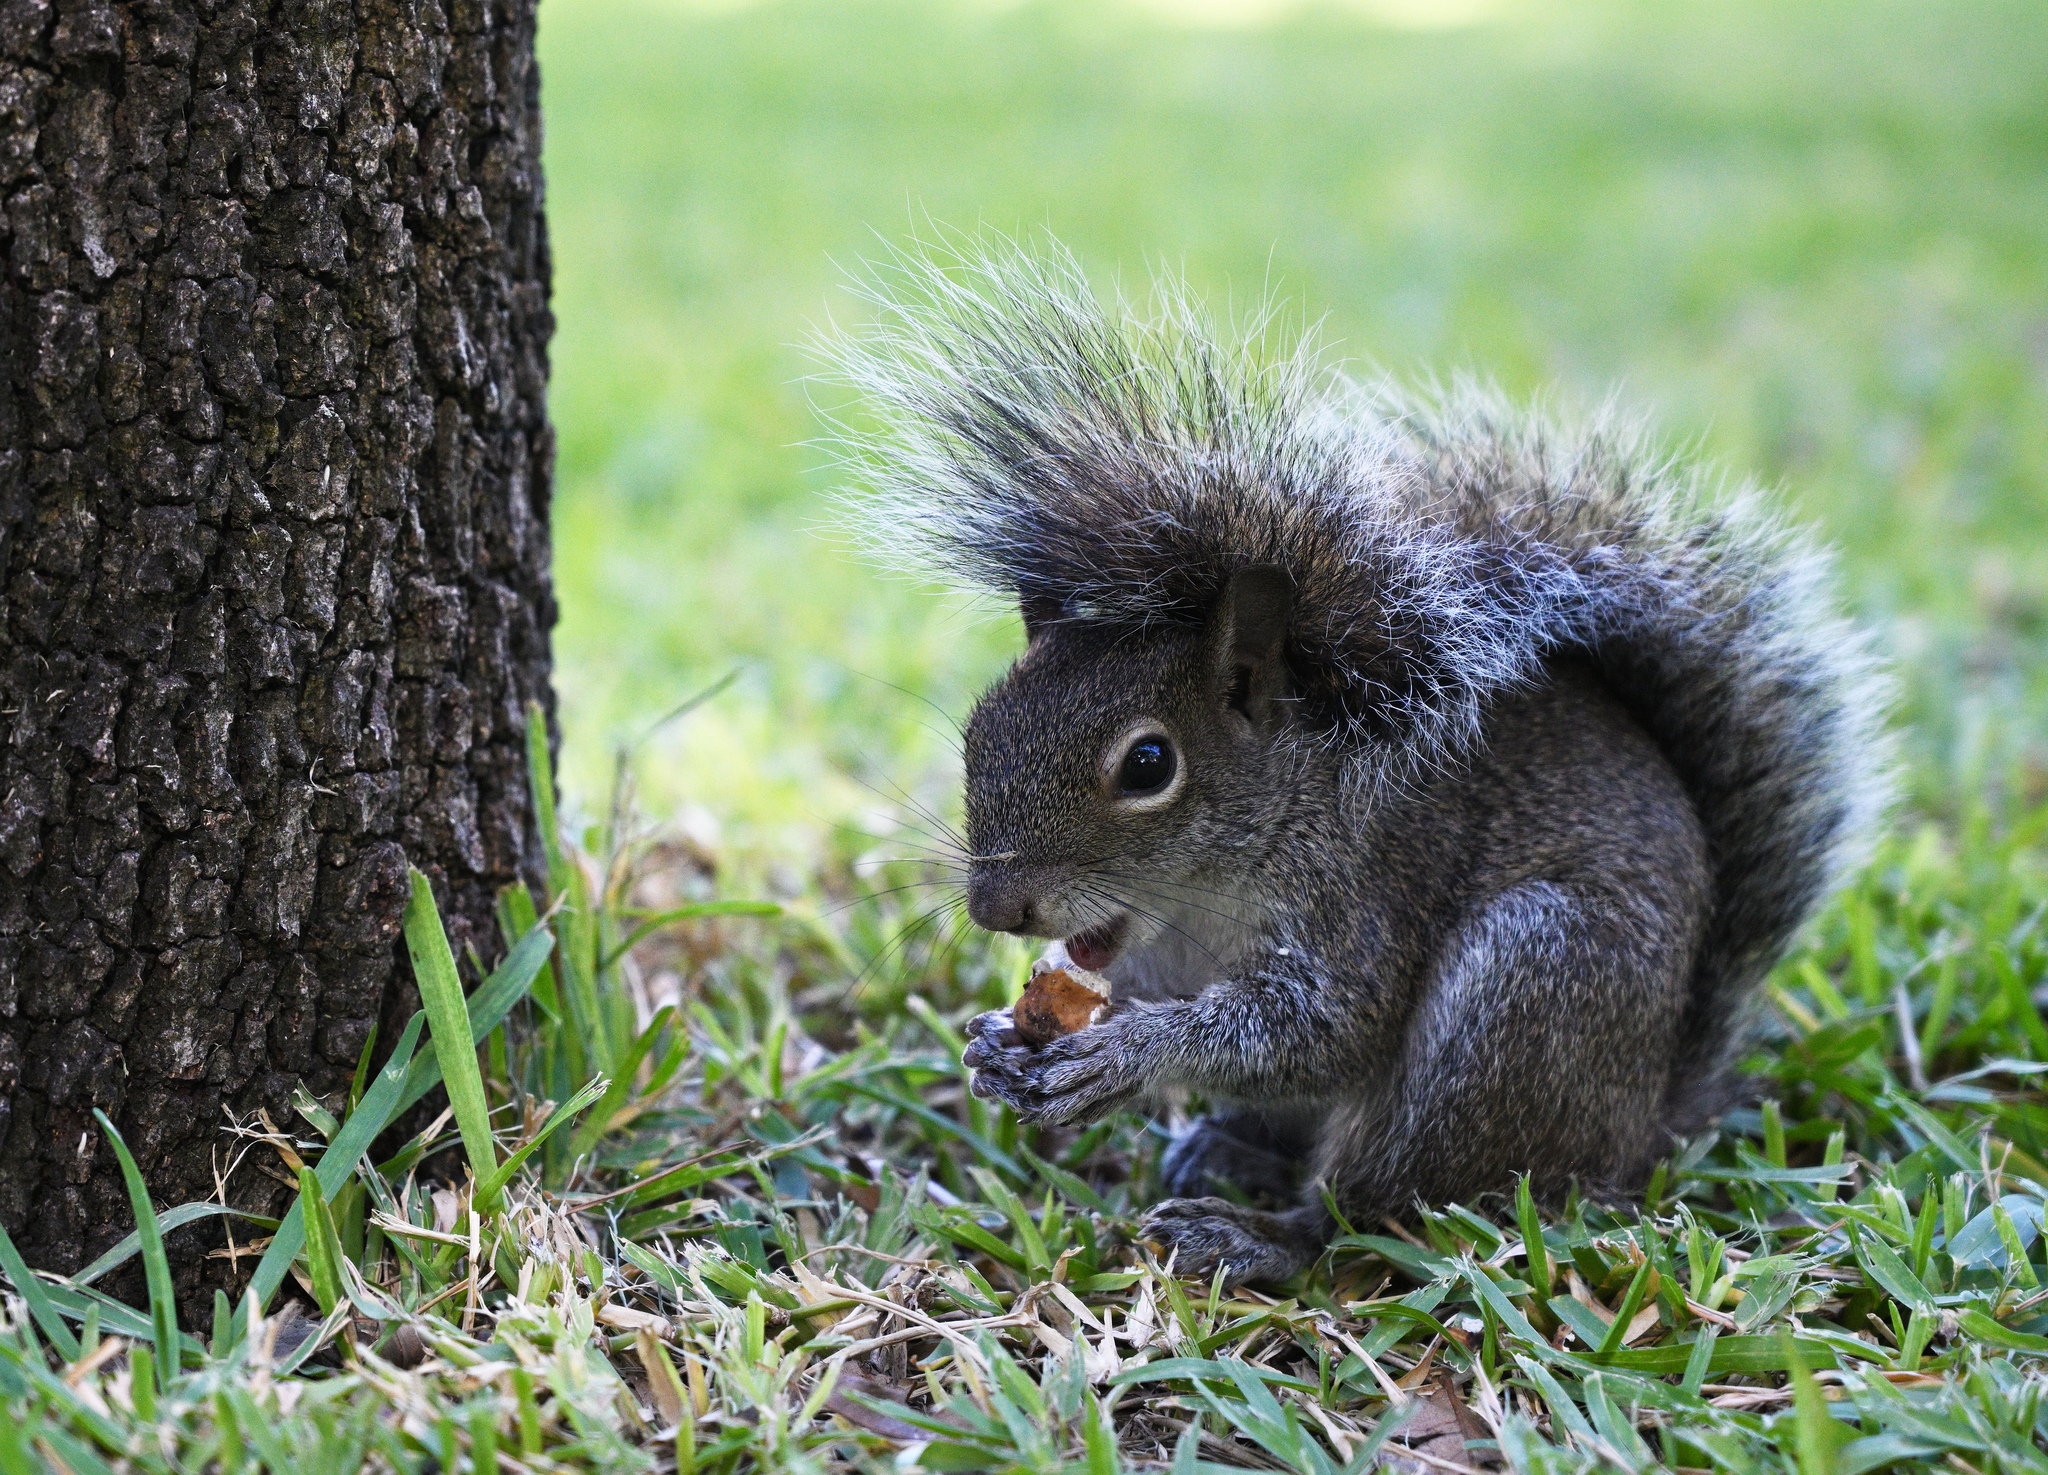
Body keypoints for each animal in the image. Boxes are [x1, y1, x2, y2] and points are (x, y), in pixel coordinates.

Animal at [827, 241, 1884, 1278]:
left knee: (1371, 1211)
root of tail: (1644, 1124)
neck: (1203, 898)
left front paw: (1127, 1056)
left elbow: (1317, 1028)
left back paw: (1253, 1234)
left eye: (1149, 764)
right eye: (979, 729)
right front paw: (996, 1043)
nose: (998, 909)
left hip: (1518, 999)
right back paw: (1225, 1148)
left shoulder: (1366, 896)